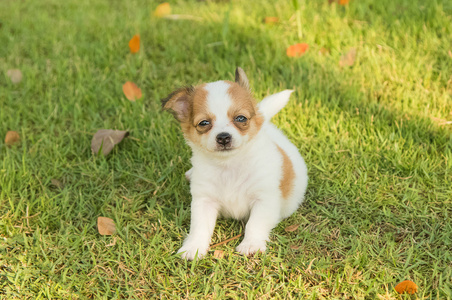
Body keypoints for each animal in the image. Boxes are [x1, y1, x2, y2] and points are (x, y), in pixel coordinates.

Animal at [162, 68, 308, 260]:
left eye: (240, 118)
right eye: (204, 123)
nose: (223, 137)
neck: (229, 165)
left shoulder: (264, 199)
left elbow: (255, 224)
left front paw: (251, 244)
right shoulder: (204, 200)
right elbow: (199, 227)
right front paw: (194, 247)